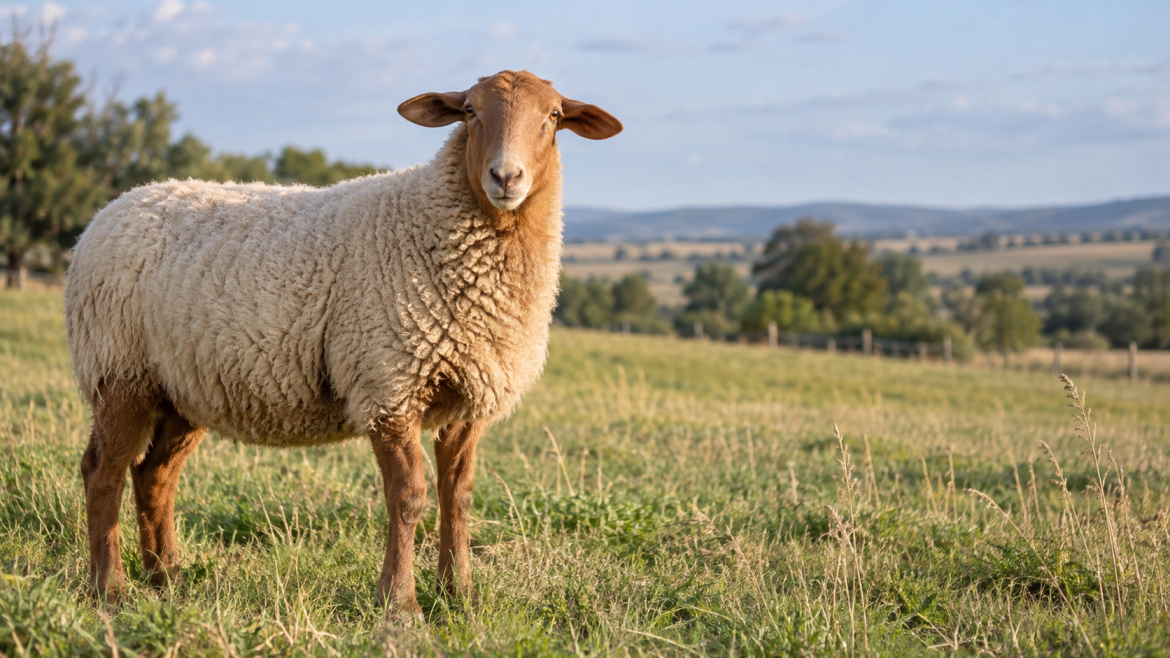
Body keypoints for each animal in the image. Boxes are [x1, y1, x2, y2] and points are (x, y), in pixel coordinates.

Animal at [64, 70, 622, 616]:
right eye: (469, 111)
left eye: (554, 116)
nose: (505, 178)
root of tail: (111, 209)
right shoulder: (388, 383)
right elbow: (409, 497)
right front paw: (400, 604)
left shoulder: (470, 394)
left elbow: (458, 495)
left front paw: (459, 596)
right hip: (118, 370)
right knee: (103, 473)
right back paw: (110, 590)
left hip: (184, 387)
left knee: (154, 476)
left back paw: (168, 581)